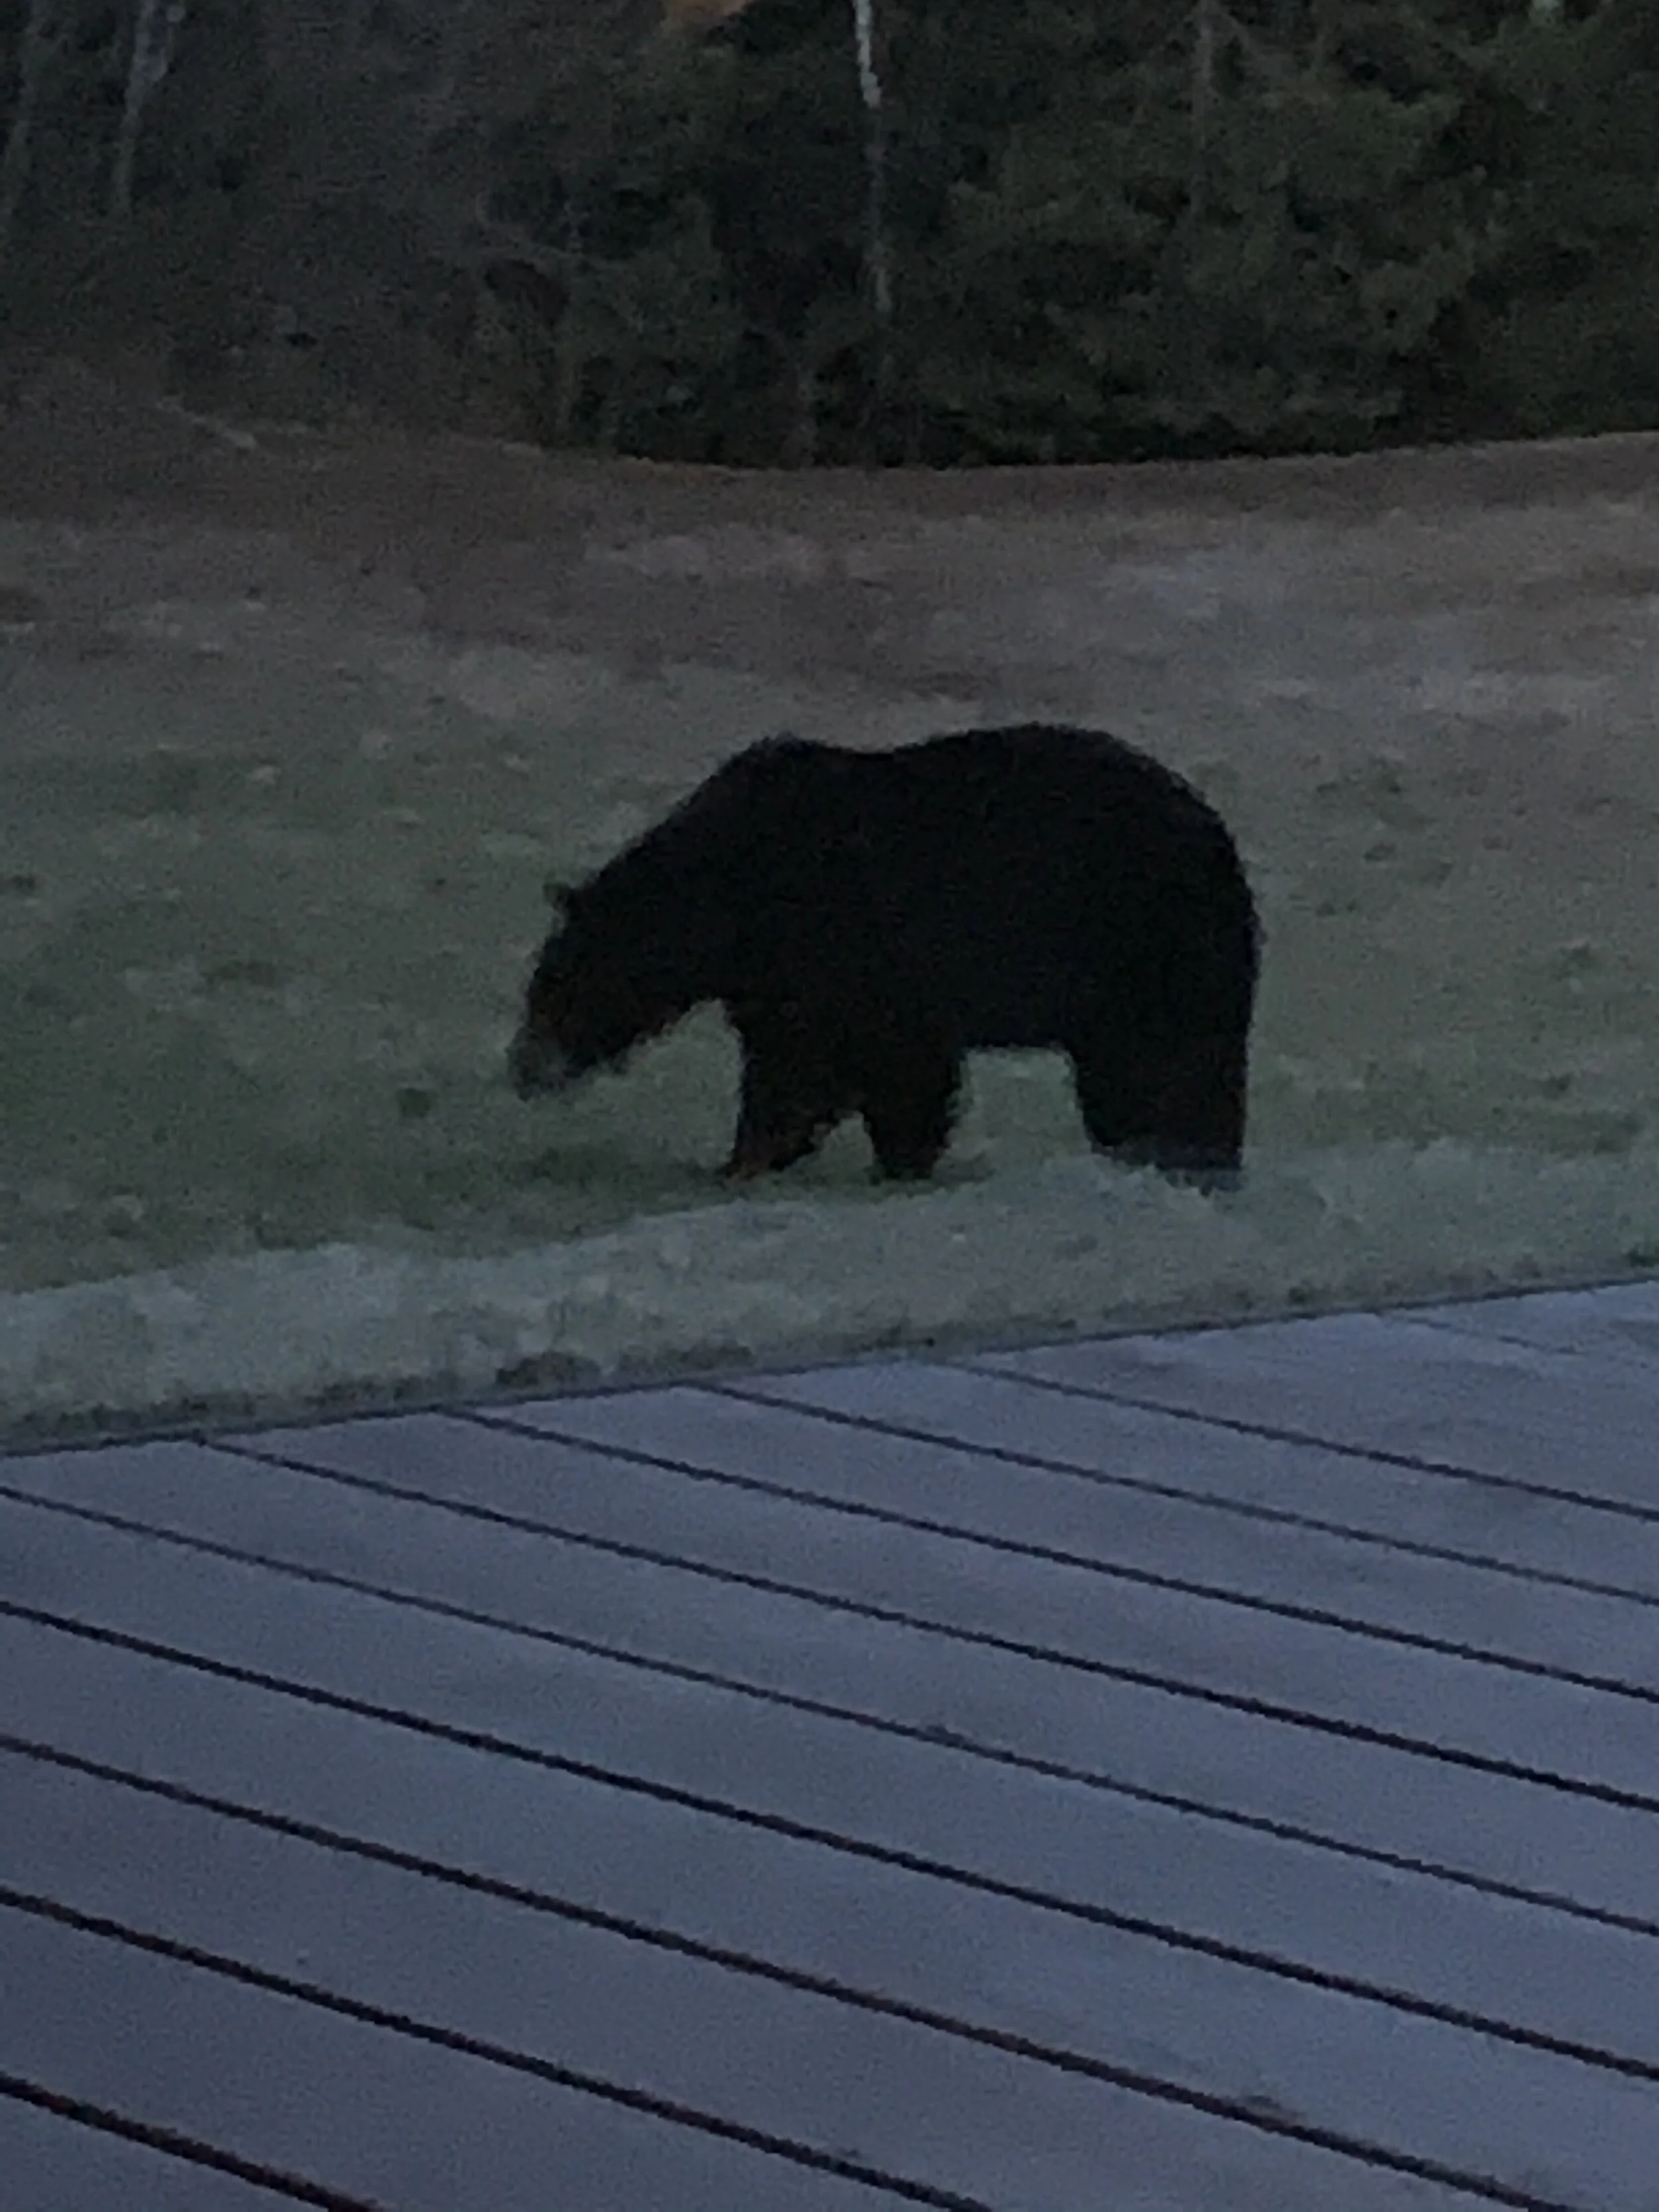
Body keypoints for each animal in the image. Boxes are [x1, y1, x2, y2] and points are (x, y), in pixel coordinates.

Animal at [508, 723, 1261, 1188]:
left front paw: (745, 1161)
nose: (522, 1069)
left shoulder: (844, 942)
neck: (728, 890)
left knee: (1168, 1062)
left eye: (553, 987)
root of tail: (1222, 846)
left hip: (1150, 945)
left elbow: (850, 1065)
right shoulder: (771, 972)